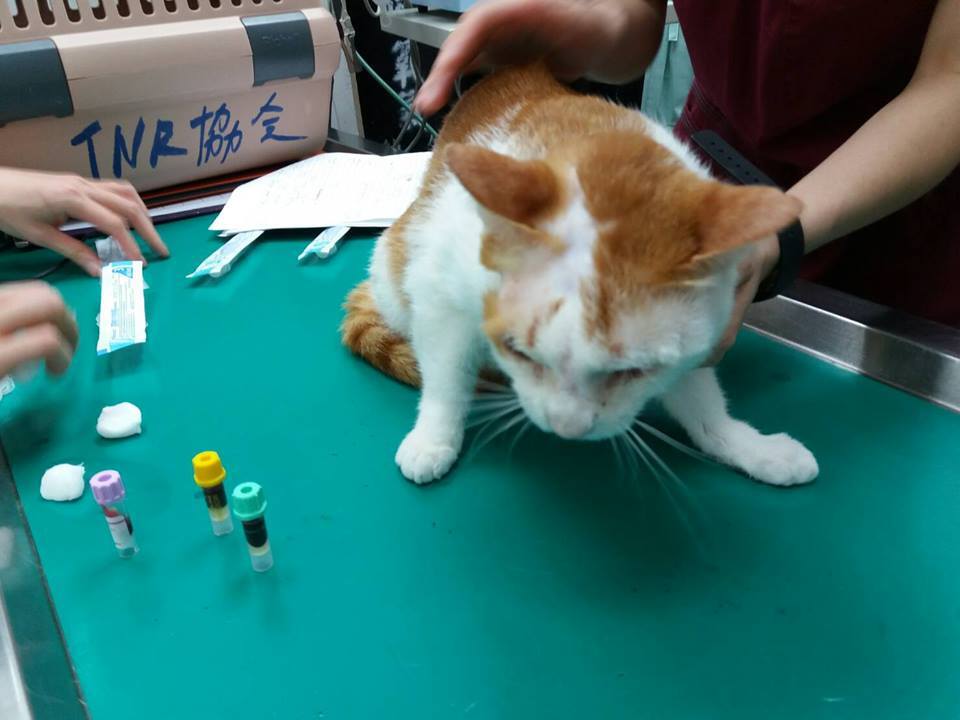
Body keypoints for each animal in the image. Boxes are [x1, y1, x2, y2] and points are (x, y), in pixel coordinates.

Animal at [342, 64, 818, 487]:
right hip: (398, 262)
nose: (566, 427)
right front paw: (434, 437)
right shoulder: (440, 296)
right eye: (518, 352)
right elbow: (446, 378)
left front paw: (747, 446)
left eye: (635, 370)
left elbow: (704, 405)